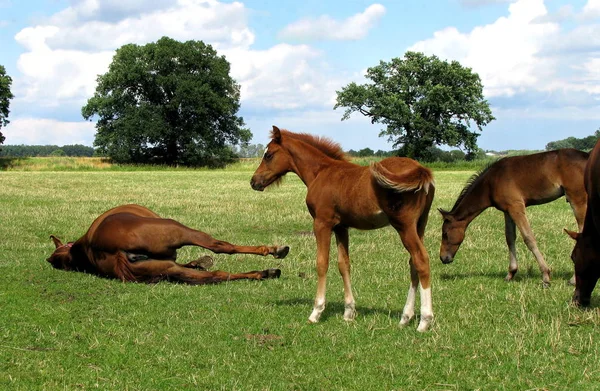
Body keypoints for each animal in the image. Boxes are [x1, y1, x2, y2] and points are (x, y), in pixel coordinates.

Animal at [48, 205, 290, 284]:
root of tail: (117, 254)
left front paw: (201, 262)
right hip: (182, 231)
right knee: (221, 247)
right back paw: (275, 252)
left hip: (170, 268)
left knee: (218, 276)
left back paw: (265, 273)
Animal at [250, 127, 436, 332]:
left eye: (268, 155)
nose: (253, 181)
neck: (320, 172)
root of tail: (421, 170)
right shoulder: (341, 227)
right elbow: (343, 264)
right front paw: (349, 312)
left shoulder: (322, 223)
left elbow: (322, 263)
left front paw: (316, 311)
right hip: (420, 225)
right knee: (413, 264)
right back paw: (405, 317)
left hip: (404, 226)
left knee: (421, 260)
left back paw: (425, 320)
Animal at [438, 149, 588, 286]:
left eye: (445, 234)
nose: (443, 258)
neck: (491, 182)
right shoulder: (507, 210)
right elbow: (510, 238)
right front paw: (511, 273)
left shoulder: (516, 207)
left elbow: (528, 238)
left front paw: (545, 276)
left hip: (577, 200)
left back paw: (574, 280)